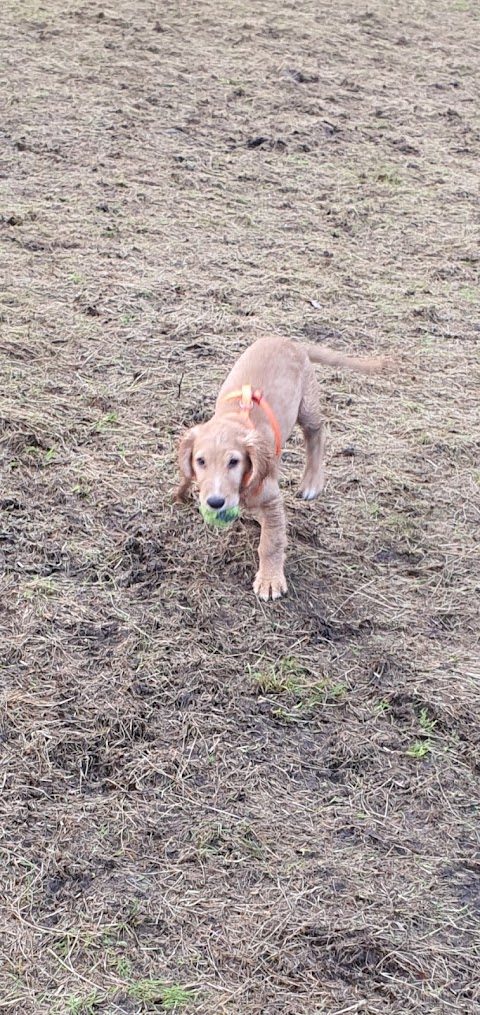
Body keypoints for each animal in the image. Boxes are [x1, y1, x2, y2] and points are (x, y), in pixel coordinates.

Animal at [173, 336, 387, 596]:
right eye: (200, 461)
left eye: (234, 462)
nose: (215, 502)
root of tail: (292, 342)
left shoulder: (272, 498)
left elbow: (271, 542)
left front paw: (270, 580)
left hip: (307, 406)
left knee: (316, 433)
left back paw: (312, 482)